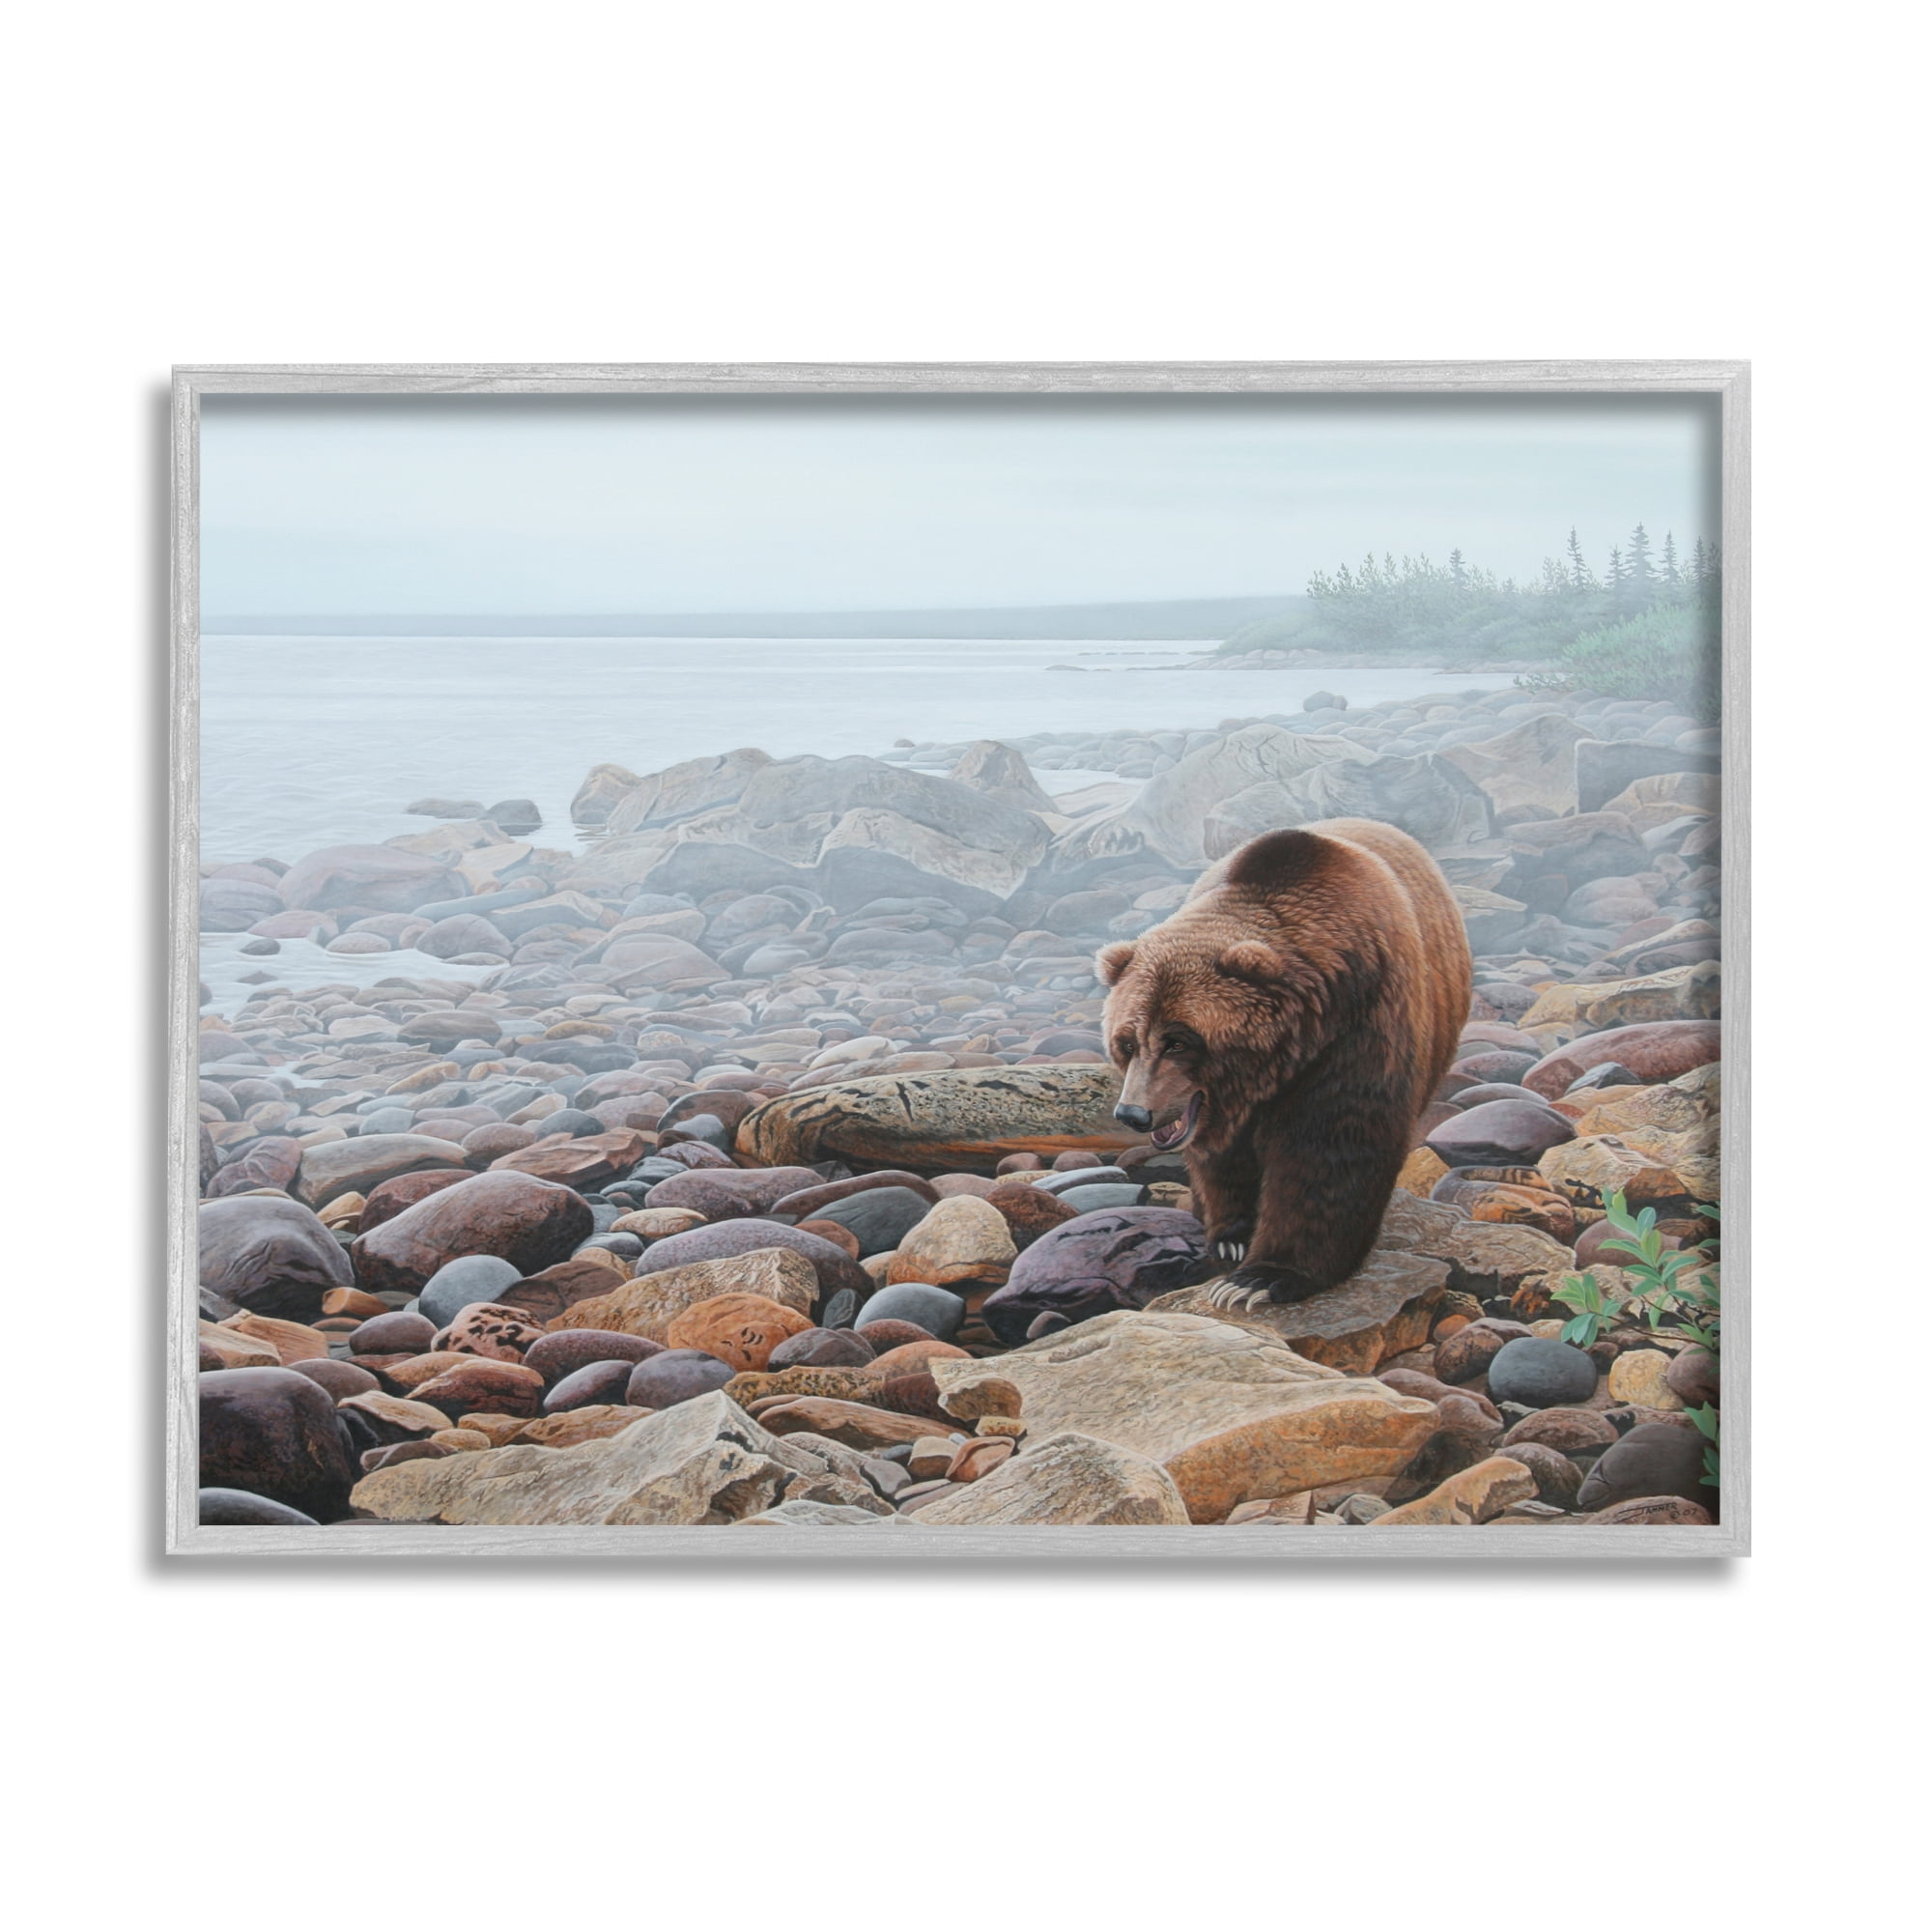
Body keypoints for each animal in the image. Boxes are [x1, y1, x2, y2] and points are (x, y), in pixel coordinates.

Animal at [1096, 817, 1472, 1308]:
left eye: (1178, 1041)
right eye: (1127, 1042)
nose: (1134, 1113)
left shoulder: (1361, 1027)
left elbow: (1330, 1148)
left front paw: (1262, 1278)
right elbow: (1222, 1160)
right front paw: (1231, 1238)